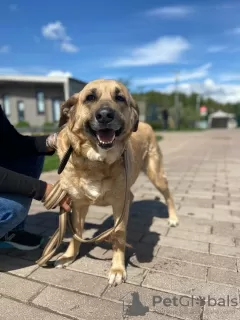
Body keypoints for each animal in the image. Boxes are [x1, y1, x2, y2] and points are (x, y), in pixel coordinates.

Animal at [54, 79, 178, 286]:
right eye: (90, 97)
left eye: (120, 98)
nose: (105, 115)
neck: (97, 162)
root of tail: (146, 123)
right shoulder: (78, 205)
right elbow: (76, 233)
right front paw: (69, 256)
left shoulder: (119, 203)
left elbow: (119, 235)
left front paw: (118, 269)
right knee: (133, 196)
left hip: (155, 174)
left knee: (168, 195)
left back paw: (174, 218)